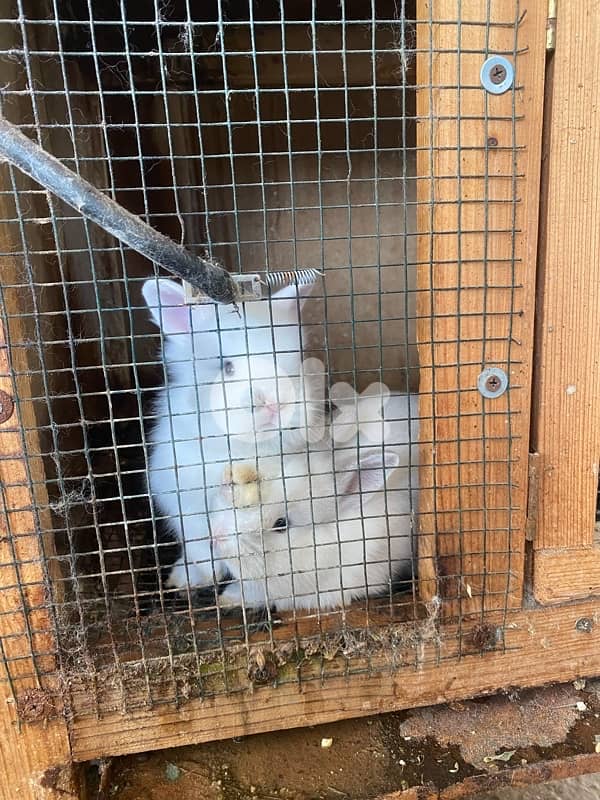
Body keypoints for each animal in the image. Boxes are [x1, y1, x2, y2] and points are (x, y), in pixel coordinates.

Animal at [141, 277, 326, 590]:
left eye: (292, 360)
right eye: (226, 366)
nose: (277, 403)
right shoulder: (181, 498)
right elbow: (201, 543)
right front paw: (208, 574)